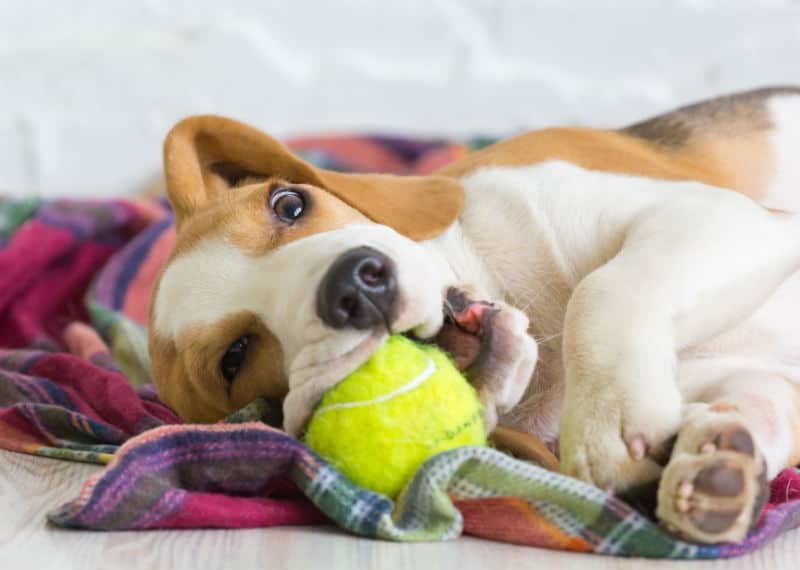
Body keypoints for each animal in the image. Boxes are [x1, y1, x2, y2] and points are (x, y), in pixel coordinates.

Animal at [147, 85, 800, 540]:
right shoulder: (756, 375)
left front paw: (609, 420)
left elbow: (603, 288)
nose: (354, 285)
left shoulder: (725, 215)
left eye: (288, 204)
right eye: (233, 358)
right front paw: (716, 467)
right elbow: (756, 405)